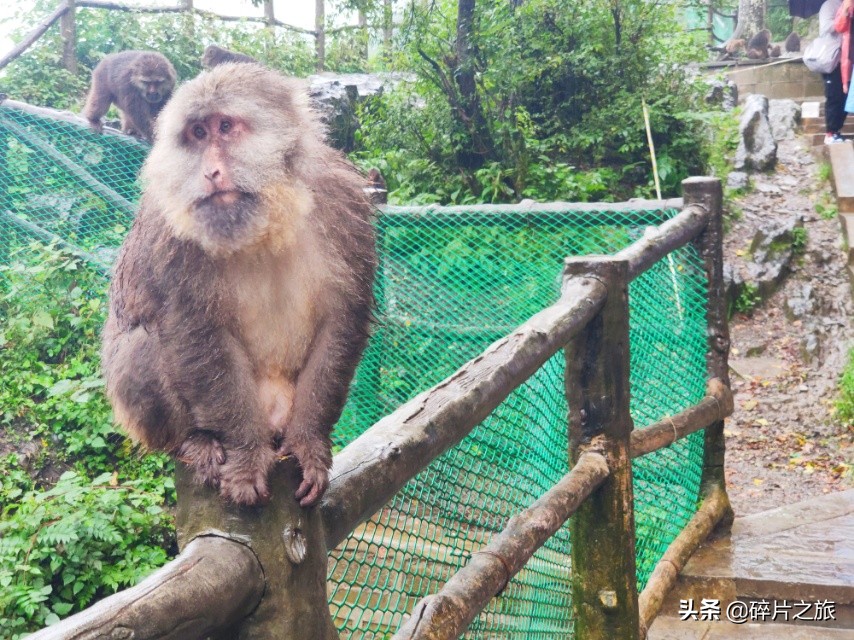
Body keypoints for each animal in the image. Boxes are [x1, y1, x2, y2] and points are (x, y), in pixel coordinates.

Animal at [102, 63, 376, 504]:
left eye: (226, 127)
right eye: (198, 133)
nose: (210, 172)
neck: (268, 213)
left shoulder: (344, 203)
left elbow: (342, 318)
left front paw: (309, 442)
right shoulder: (169, 231)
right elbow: (195, 332)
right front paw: (246, 455)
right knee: (141, 345)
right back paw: (194, 441)